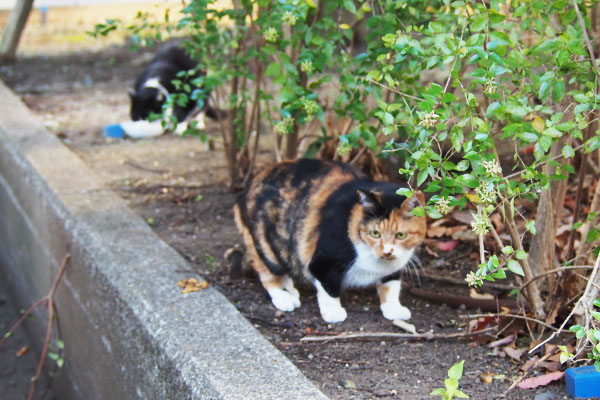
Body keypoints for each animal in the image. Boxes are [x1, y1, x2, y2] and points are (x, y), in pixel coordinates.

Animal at [234, 158, 426, 324]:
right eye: (375, 233)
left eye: (400, 235)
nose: (387, 252)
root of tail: (245, 190)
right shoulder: (323, 261)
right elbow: (328, 287)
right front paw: (334, 312)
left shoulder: (396, 266)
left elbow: (391, 284)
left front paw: (393, 308)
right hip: (266, 244)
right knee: (268, 272)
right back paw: (283, 297)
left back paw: (292, 292)